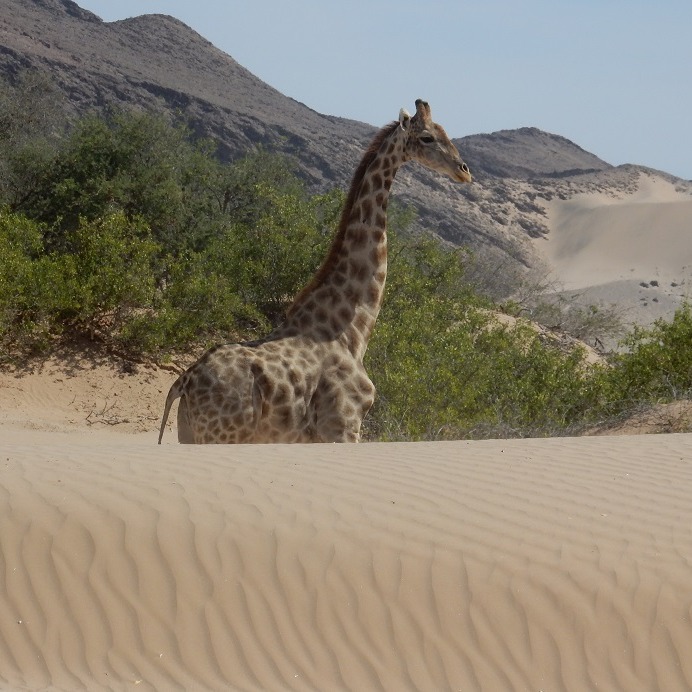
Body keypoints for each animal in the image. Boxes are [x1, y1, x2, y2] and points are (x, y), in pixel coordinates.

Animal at [158, 99, 472, 444]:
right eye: (427, 137)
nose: (464, 171)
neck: (351, 333)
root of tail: (184, 382)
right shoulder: (343, 426)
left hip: (188, 433)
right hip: (224, 435)